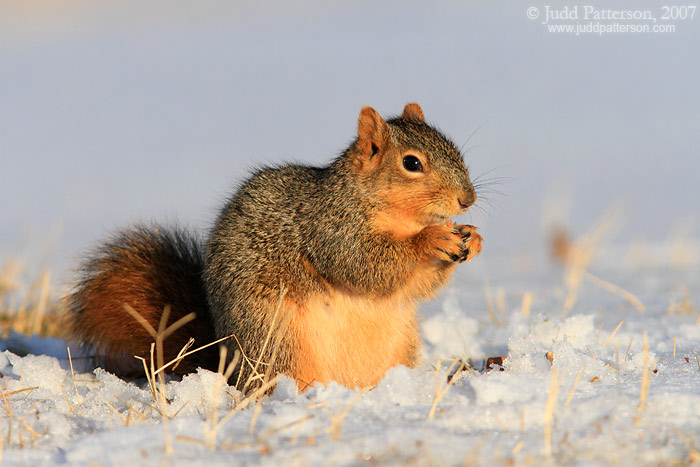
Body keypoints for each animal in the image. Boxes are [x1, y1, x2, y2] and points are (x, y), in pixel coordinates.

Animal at [68, 104, 484, 394]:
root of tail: (227, 363)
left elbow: (416, 286)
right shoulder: (331, 229)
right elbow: (365, 264)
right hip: (279, 341)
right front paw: (431, 241)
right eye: (411, 163)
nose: (467, 199)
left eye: (456, 152)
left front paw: (472, 238)